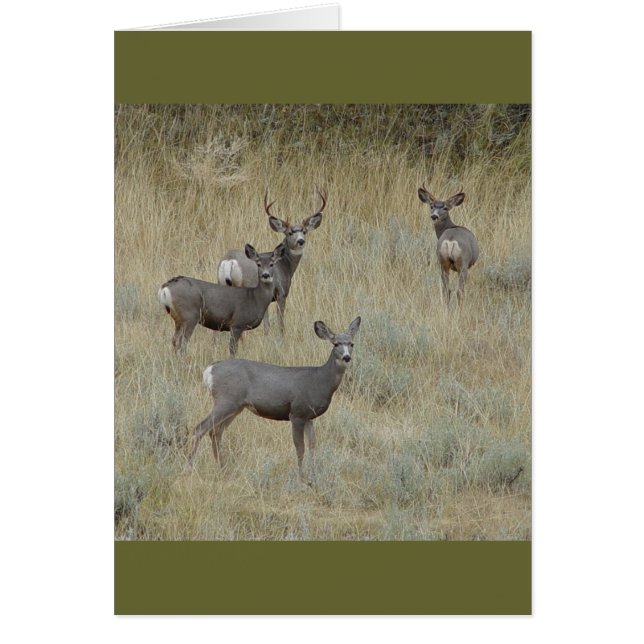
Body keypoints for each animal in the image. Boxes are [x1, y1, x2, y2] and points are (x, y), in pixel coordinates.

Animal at [189, 316, 361, 484]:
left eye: (351, 343)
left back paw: (223, 469)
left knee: (215, 432)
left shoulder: (309, 417)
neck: (320, 381)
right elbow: (300, 448)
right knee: (200, 429)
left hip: (236, 406)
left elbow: (312, 446)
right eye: (336, 343)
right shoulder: (297, 413)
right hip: (226, 399)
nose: (347, 357)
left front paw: (313, 478)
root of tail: (209, 371)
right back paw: (190, 465)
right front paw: (301, 479)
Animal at [217, 188, 325, 335]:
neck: (285, 265)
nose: (301, 241)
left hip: (220, 283)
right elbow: (280, 322)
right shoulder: (281, 292)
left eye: (304, 231)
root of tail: (229, 261)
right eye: (290, 232)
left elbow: (266, 323)